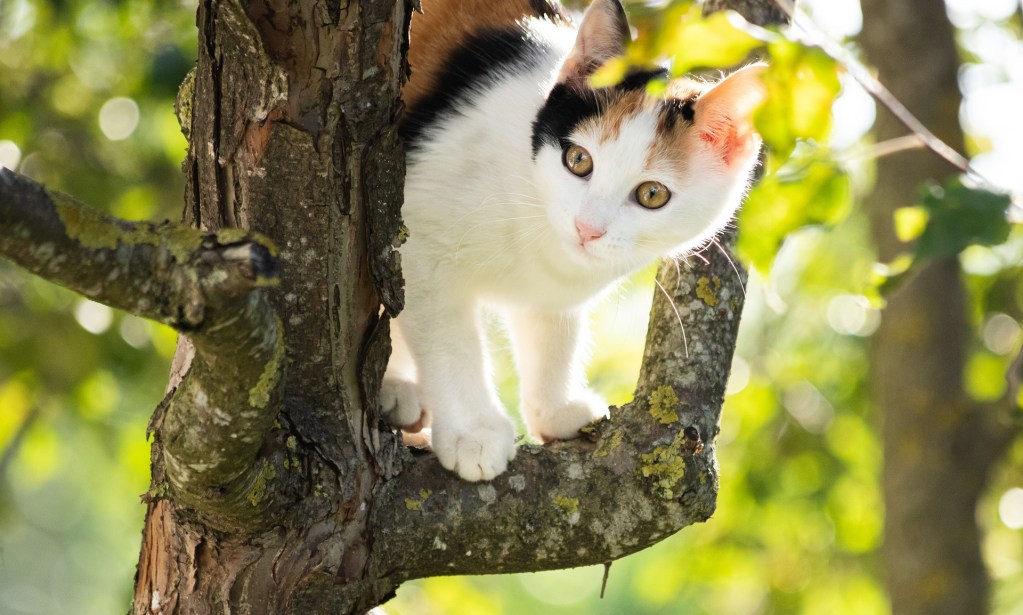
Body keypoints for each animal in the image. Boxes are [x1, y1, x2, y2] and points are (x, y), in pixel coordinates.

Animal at [384, 0, 769, 478]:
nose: (588, 228)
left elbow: (553, 332)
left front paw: (555, 410)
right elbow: (448, 340)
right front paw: (474, 432)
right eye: (579, 160)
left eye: (652, 194)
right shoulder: (419, 240)